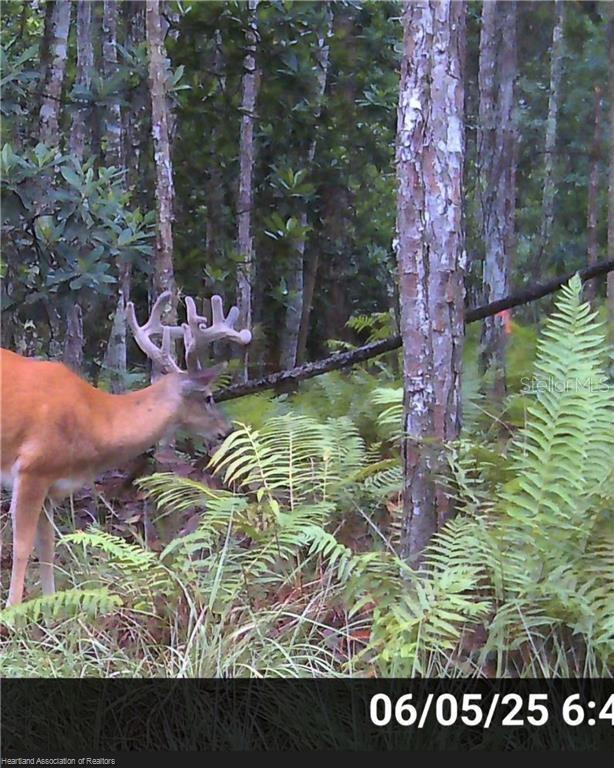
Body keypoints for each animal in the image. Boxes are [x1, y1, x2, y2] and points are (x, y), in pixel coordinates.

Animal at [0, 291, 251, 607]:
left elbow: (47, 548)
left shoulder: (52, 485)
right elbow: (22, 548)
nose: (226, 429)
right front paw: (13, 613)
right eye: (208, 397)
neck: (92, 421)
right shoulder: (32, 469)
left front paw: (51, 610)